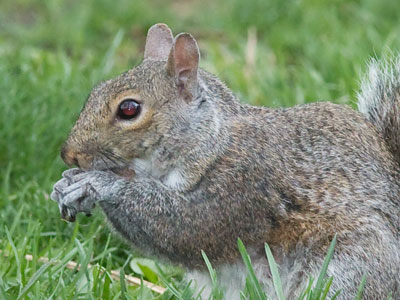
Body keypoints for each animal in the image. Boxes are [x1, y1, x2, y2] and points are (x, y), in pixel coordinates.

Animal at [51, 24, 400, 300]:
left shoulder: (244, 181)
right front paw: (65, 185)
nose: (69, 154)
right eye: (95, 91)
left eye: (129, 109)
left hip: (348, 267)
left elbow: (187, 226)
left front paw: (99, 183)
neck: (212, 143)